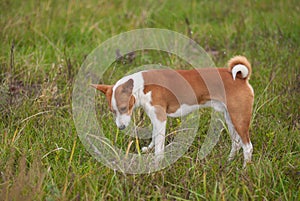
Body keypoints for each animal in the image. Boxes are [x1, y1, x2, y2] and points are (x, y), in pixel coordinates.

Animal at [92, 55, 254, 167]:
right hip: (230, 119)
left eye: (123, 108)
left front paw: (156, 166)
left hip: (239, 119)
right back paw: (228, 162)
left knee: (248, 147)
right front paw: (148, 149)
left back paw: (244, 170)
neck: (142, 86)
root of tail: (241, 78)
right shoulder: (155, 119)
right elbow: (154, 138)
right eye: (112, 111)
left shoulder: (160, 119)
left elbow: (159, 148)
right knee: (236, 144)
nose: (121, 127)